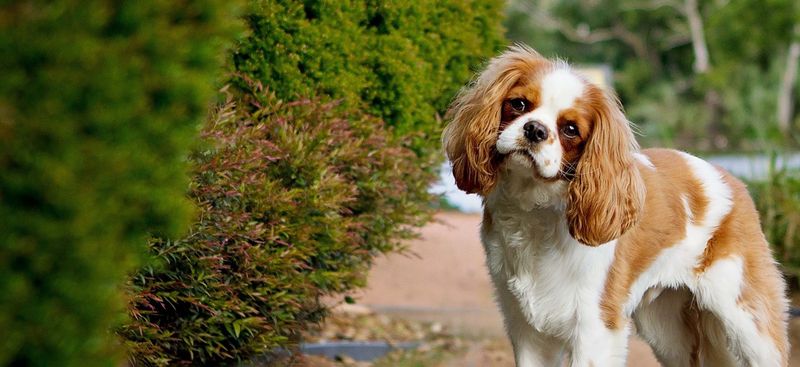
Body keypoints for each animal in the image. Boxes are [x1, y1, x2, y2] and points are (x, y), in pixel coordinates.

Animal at [444, 44, 788, 366]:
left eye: (571, 129)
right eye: (518, 104)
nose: (535, 129)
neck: (535, 210)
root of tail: (729, 177)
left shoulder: (595, 327)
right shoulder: (527, 329)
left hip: (747, 320)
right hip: (667, 328)